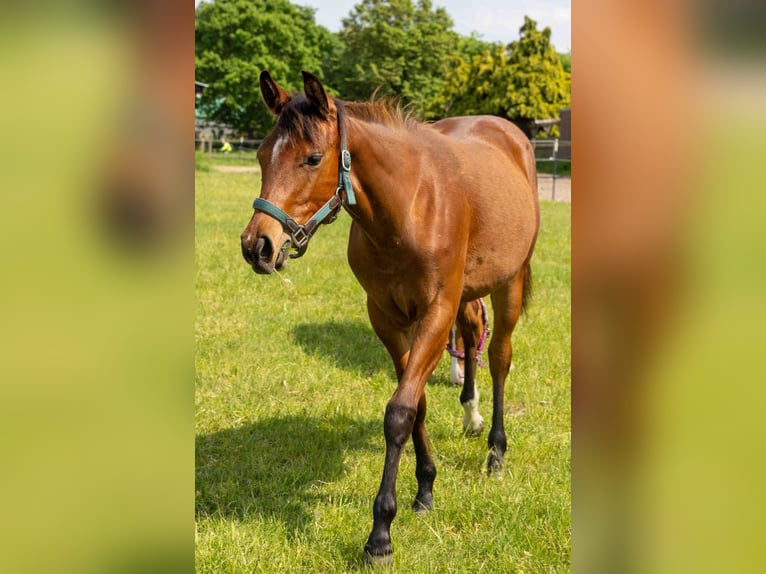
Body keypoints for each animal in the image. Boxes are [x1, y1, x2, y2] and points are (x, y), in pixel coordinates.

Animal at [240, 70, 540, 566]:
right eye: (263, 155)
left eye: (312, 158)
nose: (257, 246)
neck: (410, 206)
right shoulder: (386, 317)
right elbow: (416, 402)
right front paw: (425, 488)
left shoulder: (435, 312)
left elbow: (399, 412)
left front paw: (380, 533)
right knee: (472, 333)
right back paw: (471, 416)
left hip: (509, 282)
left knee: (498, 355)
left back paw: (496, 453)